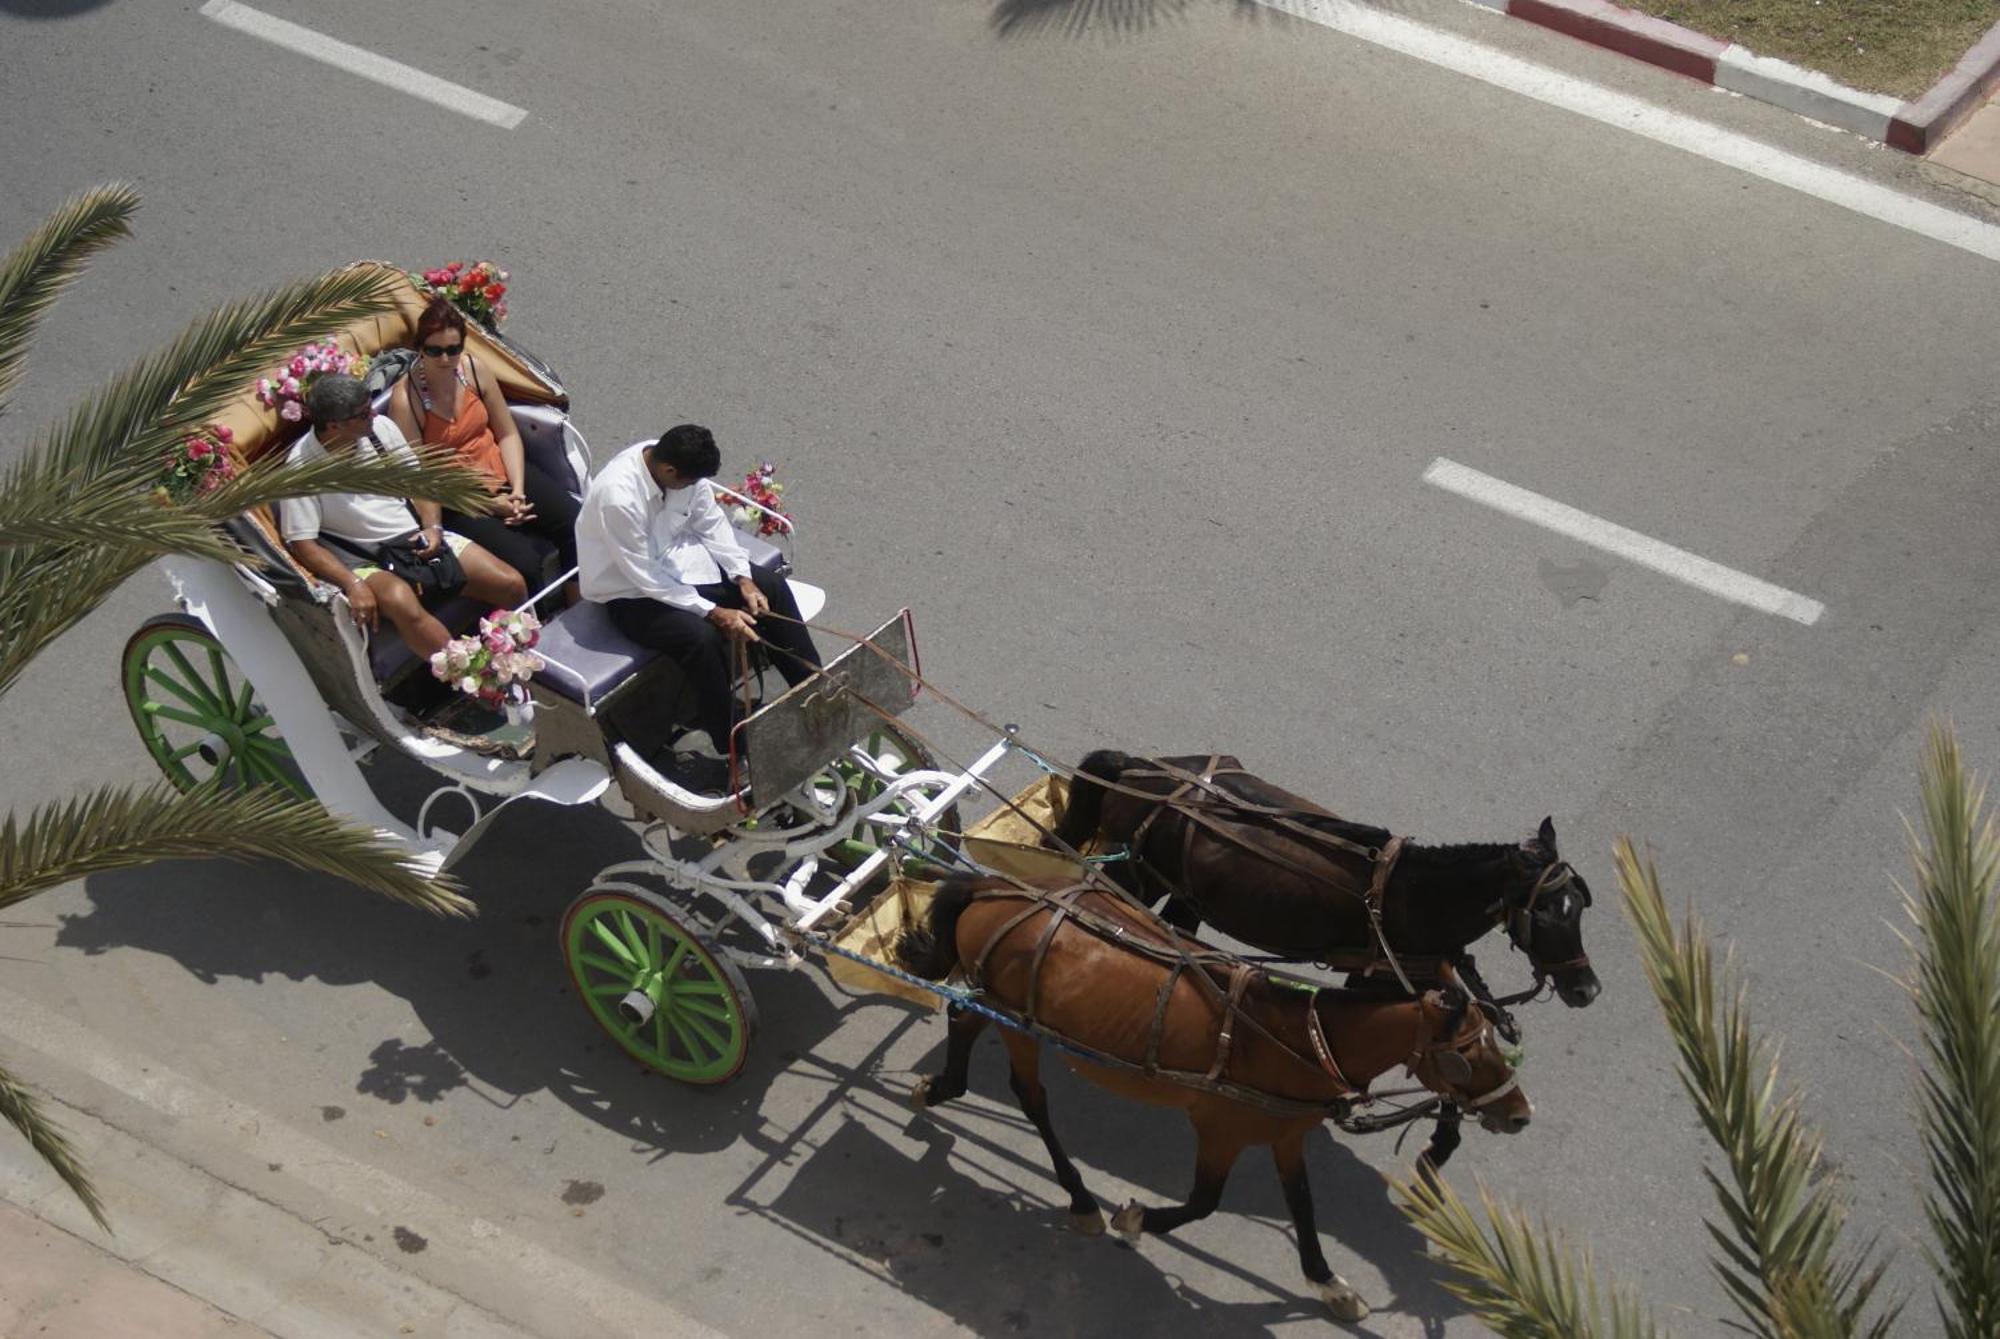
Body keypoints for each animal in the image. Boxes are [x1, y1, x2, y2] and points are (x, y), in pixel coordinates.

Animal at [896, 875, 1528, 1327]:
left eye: (1499, 1044)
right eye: (1467, 1054)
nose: (1520, 1115)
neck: (1299, 1038)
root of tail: (994, 890)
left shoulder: (1285, 1134)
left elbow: (1303, 1207)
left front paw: (1328, 1283)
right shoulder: (1220, 1129)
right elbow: (1203, 1202)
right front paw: (1135, 1217)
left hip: (999, 1004)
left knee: (963, 1019)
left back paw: (942, 1087)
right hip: (1020, 1023)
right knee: (1030, 1096)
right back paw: (1079, 1198)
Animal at [1056, 755, 1600, 1007]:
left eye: (1579, 907)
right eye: (1546, 913)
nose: (1587, 989)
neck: (1416, 895)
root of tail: (1140, 769)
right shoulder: (1379, 976)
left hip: (1186, 894)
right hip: (1135, 873)